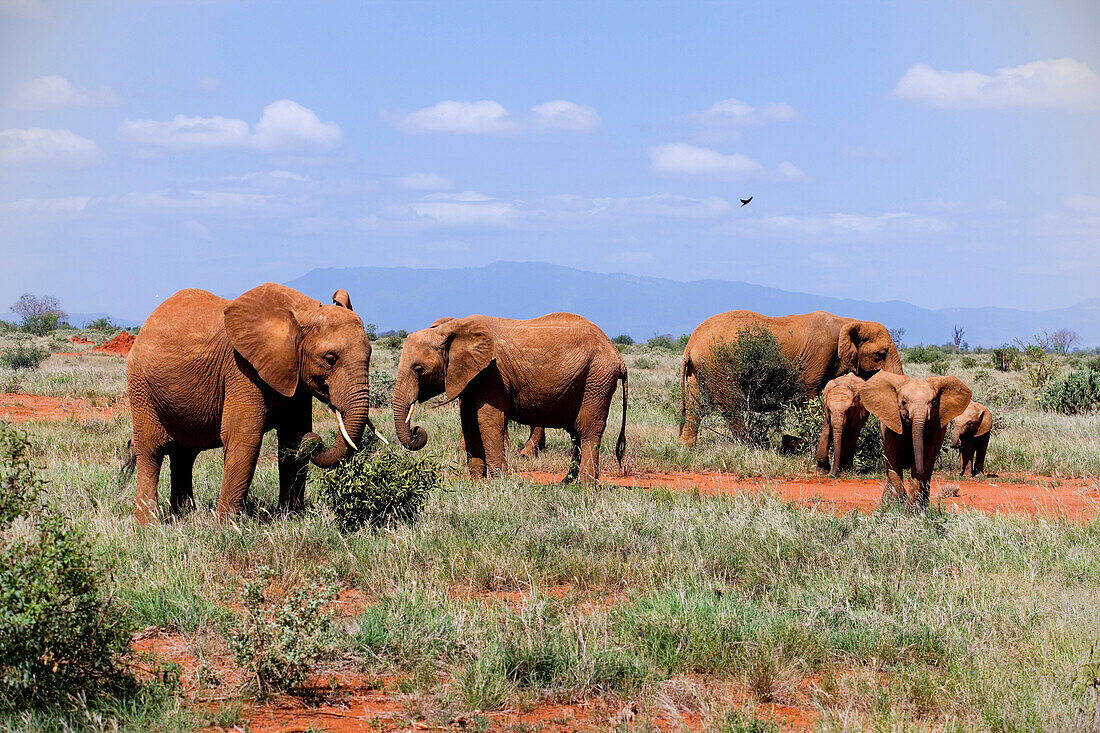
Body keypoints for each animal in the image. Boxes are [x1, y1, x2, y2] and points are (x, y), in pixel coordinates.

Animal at [127, 281, 385, 521]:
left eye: (370, 354)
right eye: (330, 359)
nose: (315, 441)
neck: (302, 312)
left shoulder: (294, 374)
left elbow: (292, 436)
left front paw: (290, 517)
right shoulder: (241, 369)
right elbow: (243, 438)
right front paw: (226, 527)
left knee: (184, 455)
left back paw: (183, 517)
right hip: (140, 387)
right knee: (151, 451)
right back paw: (149, 525)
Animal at [393, 312, 629, 479]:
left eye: (418, 369)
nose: (417, 430)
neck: (453, 328)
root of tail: (618, 355)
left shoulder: (494, 373)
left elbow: (488, 420)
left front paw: (499, 481)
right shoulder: (470, 375)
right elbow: (468, 420)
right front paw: (478, 482)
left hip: (597, 380)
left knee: (588, 430)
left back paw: (584, 487)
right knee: (576, 433)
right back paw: (567, 484)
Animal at [677, 308, 902, 444]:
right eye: (881, 354)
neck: (851, 322)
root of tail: (690, 344)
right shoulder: (818, 356)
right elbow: (807, 399)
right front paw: (806, 445)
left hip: (699, 369)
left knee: (695, 405)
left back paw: (686, 447)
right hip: (717, 365)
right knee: (731, 405)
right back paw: (749, 445)